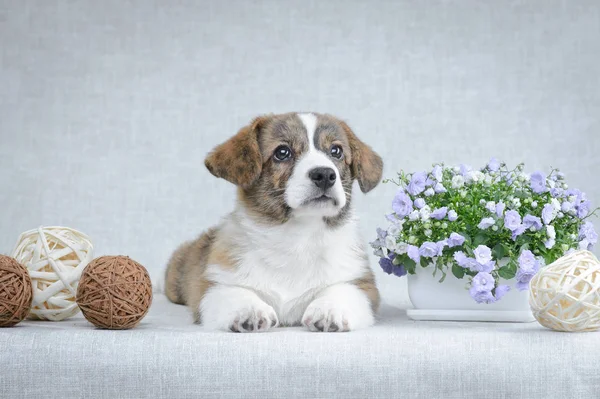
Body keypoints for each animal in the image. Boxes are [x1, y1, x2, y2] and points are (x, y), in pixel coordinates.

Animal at [163, 111, 384, 332]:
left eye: (336, 151)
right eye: (282, 152)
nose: (324, 175)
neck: (298, 236)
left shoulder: (361, 283)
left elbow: (343, 290)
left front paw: (329, 309)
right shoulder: (211, 284)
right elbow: (233, 291)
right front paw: (249, 310)